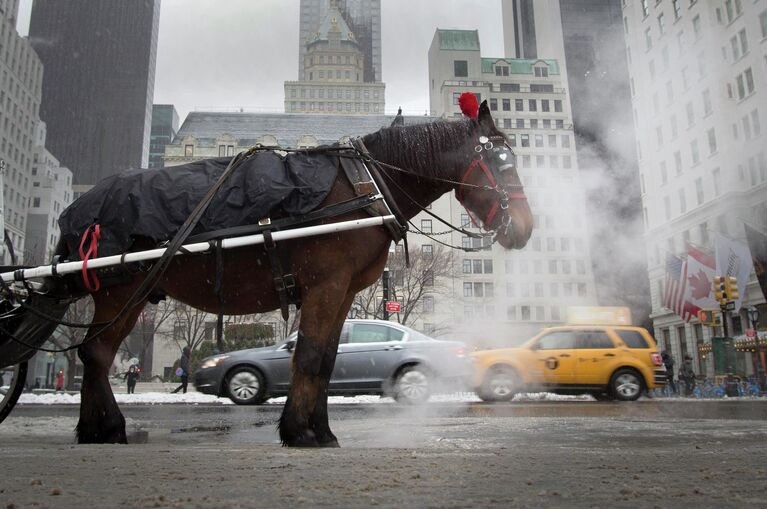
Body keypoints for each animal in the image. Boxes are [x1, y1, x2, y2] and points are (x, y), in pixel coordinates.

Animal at [22, 98, 536, 444]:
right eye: (501, 161)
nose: (526, 228)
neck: (366, 185)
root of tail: (81, 205)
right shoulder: (325, 284)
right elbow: (307, 357)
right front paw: (300, 433)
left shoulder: (343, 291)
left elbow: (325, 359)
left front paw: (318, 430)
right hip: (118, 292)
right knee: (96, 354)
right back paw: (106, 427)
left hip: (131, 294)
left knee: (97, 354)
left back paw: (97, 428)